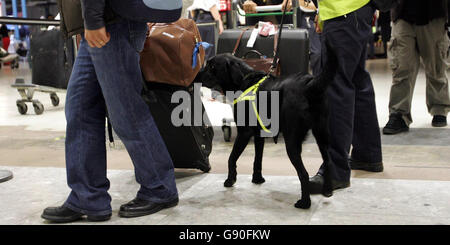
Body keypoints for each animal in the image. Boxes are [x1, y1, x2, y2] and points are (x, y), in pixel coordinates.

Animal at [193, 44, 338, 209]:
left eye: (211, 66)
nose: (196, 76)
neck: (243, 81)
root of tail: (310, 84)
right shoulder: (258, 135)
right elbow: (258, 159)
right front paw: (257, 179)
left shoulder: (244, 133)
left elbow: (231, 158)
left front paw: (230, 180)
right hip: (322, 135)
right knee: (328, 162)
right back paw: (327, 190)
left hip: (292, 140)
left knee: (304, 174)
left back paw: (304, 203)